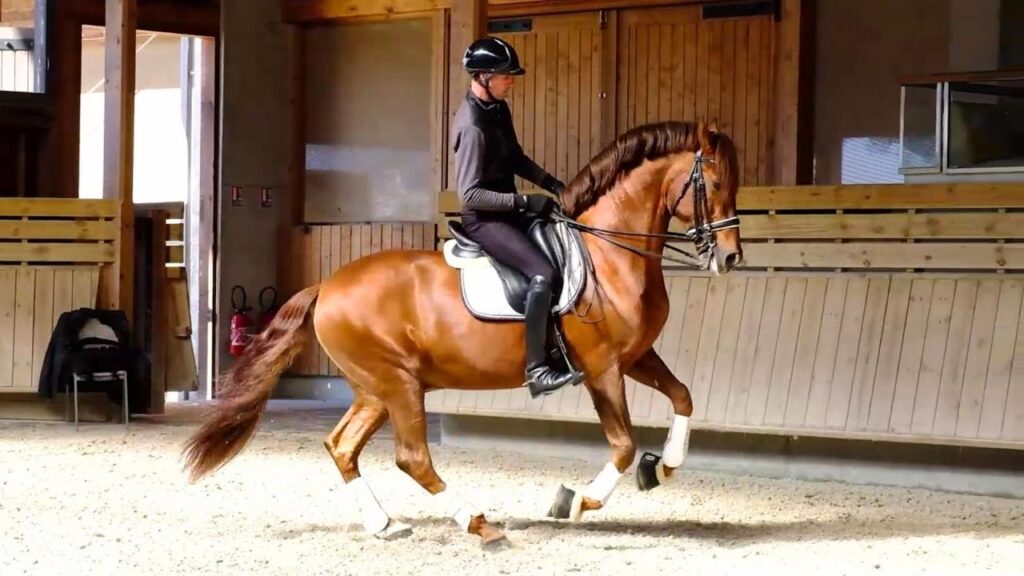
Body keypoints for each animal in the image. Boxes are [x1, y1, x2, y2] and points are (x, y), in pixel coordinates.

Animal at [182, 120, 743, 546]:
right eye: (715, 185)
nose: (731, 257)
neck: (608, 254)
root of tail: (327, 286)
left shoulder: (636, 356)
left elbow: (684, 397)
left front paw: (664, 466)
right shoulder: (602, 367)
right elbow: (623, 445)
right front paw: (577, 501)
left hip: (377, 389)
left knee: (343, 447)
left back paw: (385, 524)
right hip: (399, 385)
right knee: (411, 458)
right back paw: (478, 523)